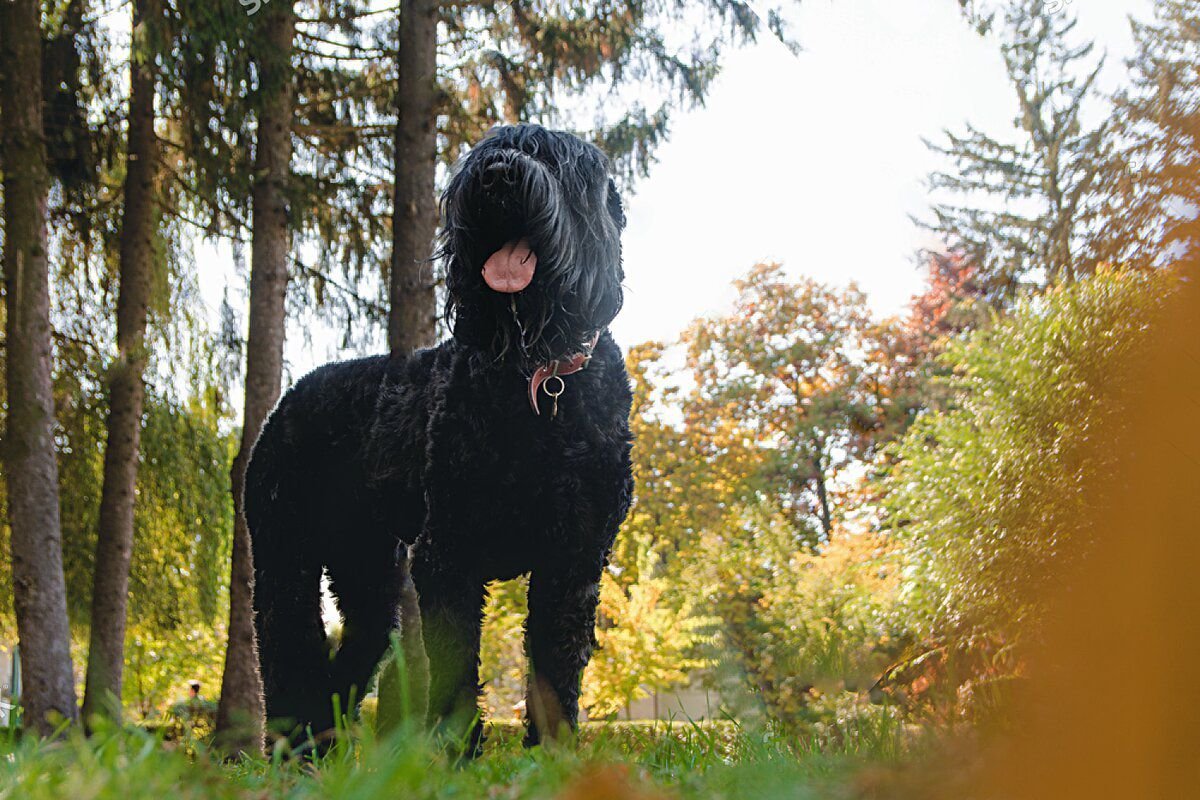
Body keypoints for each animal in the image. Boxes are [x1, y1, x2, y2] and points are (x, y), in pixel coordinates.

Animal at [246, 123, 638, 753]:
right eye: (484, 151)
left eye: (555, 158)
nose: (497, 174)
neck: (536, 379)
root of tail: (292, 394)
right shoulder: (449, 553)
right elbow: (455, 665)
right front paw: (455, 753)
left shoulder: (574, 560)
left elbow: (557, 663)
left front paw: (552, 757)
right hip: (285, 555)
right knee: (289, 650)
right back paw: (295, 750)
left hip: (367, 574)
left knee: (350, 657)